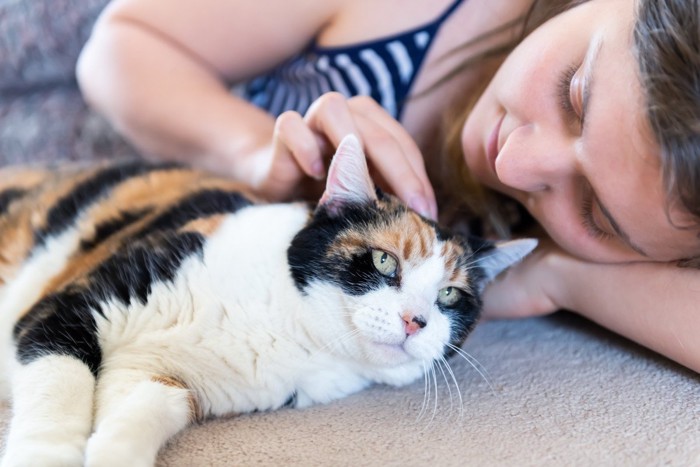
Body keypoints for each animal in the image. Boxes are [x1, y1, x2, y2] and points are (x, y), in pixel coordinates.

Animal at [0, 135, 532, 467]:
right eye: (384, 261)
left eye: (449, 295)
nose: (415, 320)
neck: (286, 325)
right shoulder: (71, 306)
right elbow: (61, 388)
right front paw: (45, 457)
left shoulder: (154, 376)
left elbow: (143, 412)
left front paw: (111, 454)